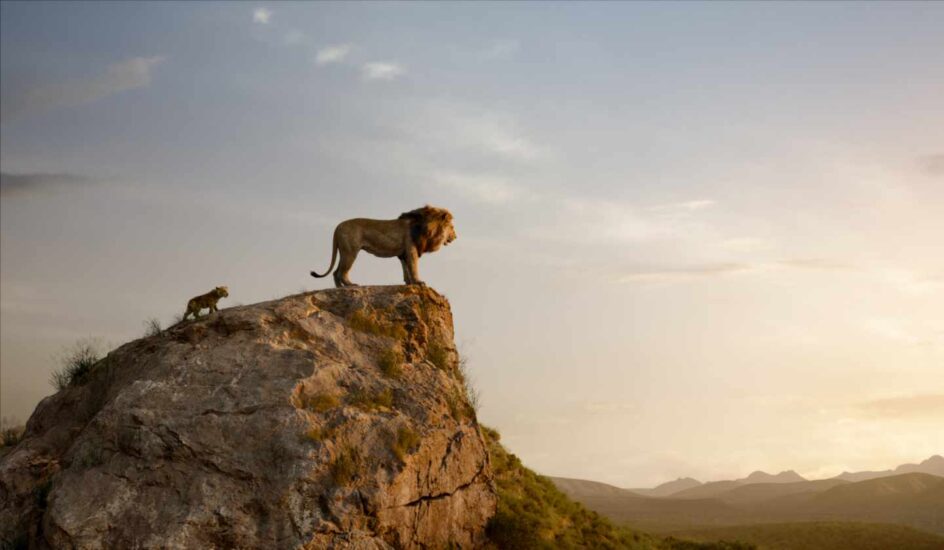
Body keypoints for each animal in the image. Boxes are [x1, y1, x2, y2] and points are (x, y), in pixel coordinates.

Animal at [310, 206, 458, 288]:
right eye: (452, 227)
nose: (456, 237)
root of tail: (337, 227)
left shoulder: (403, 253)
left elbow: (406, 269)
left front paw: (409, 283)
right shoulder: (411, 249)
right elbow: (413, 267)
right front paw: (418, 282)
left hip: (344, 251)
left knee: (336, 272)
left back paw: (339, 288)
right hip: (351, 252)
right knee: (342, 272)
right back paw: (350, 285)